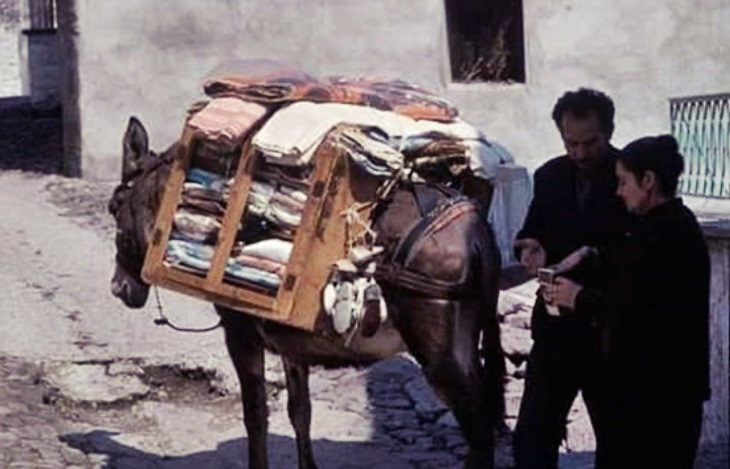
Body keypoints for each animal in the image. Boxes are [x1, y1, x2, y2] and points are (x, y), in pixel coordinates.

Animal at [108, 116, 505, 469]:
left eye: (114, 208)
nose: (118, 287)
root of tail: (474, 233)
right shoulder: (290, 343)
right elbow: (300, 411)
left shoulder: (240, 334)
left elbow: (256, 415)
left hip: (442, 356)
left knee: (479, 430)